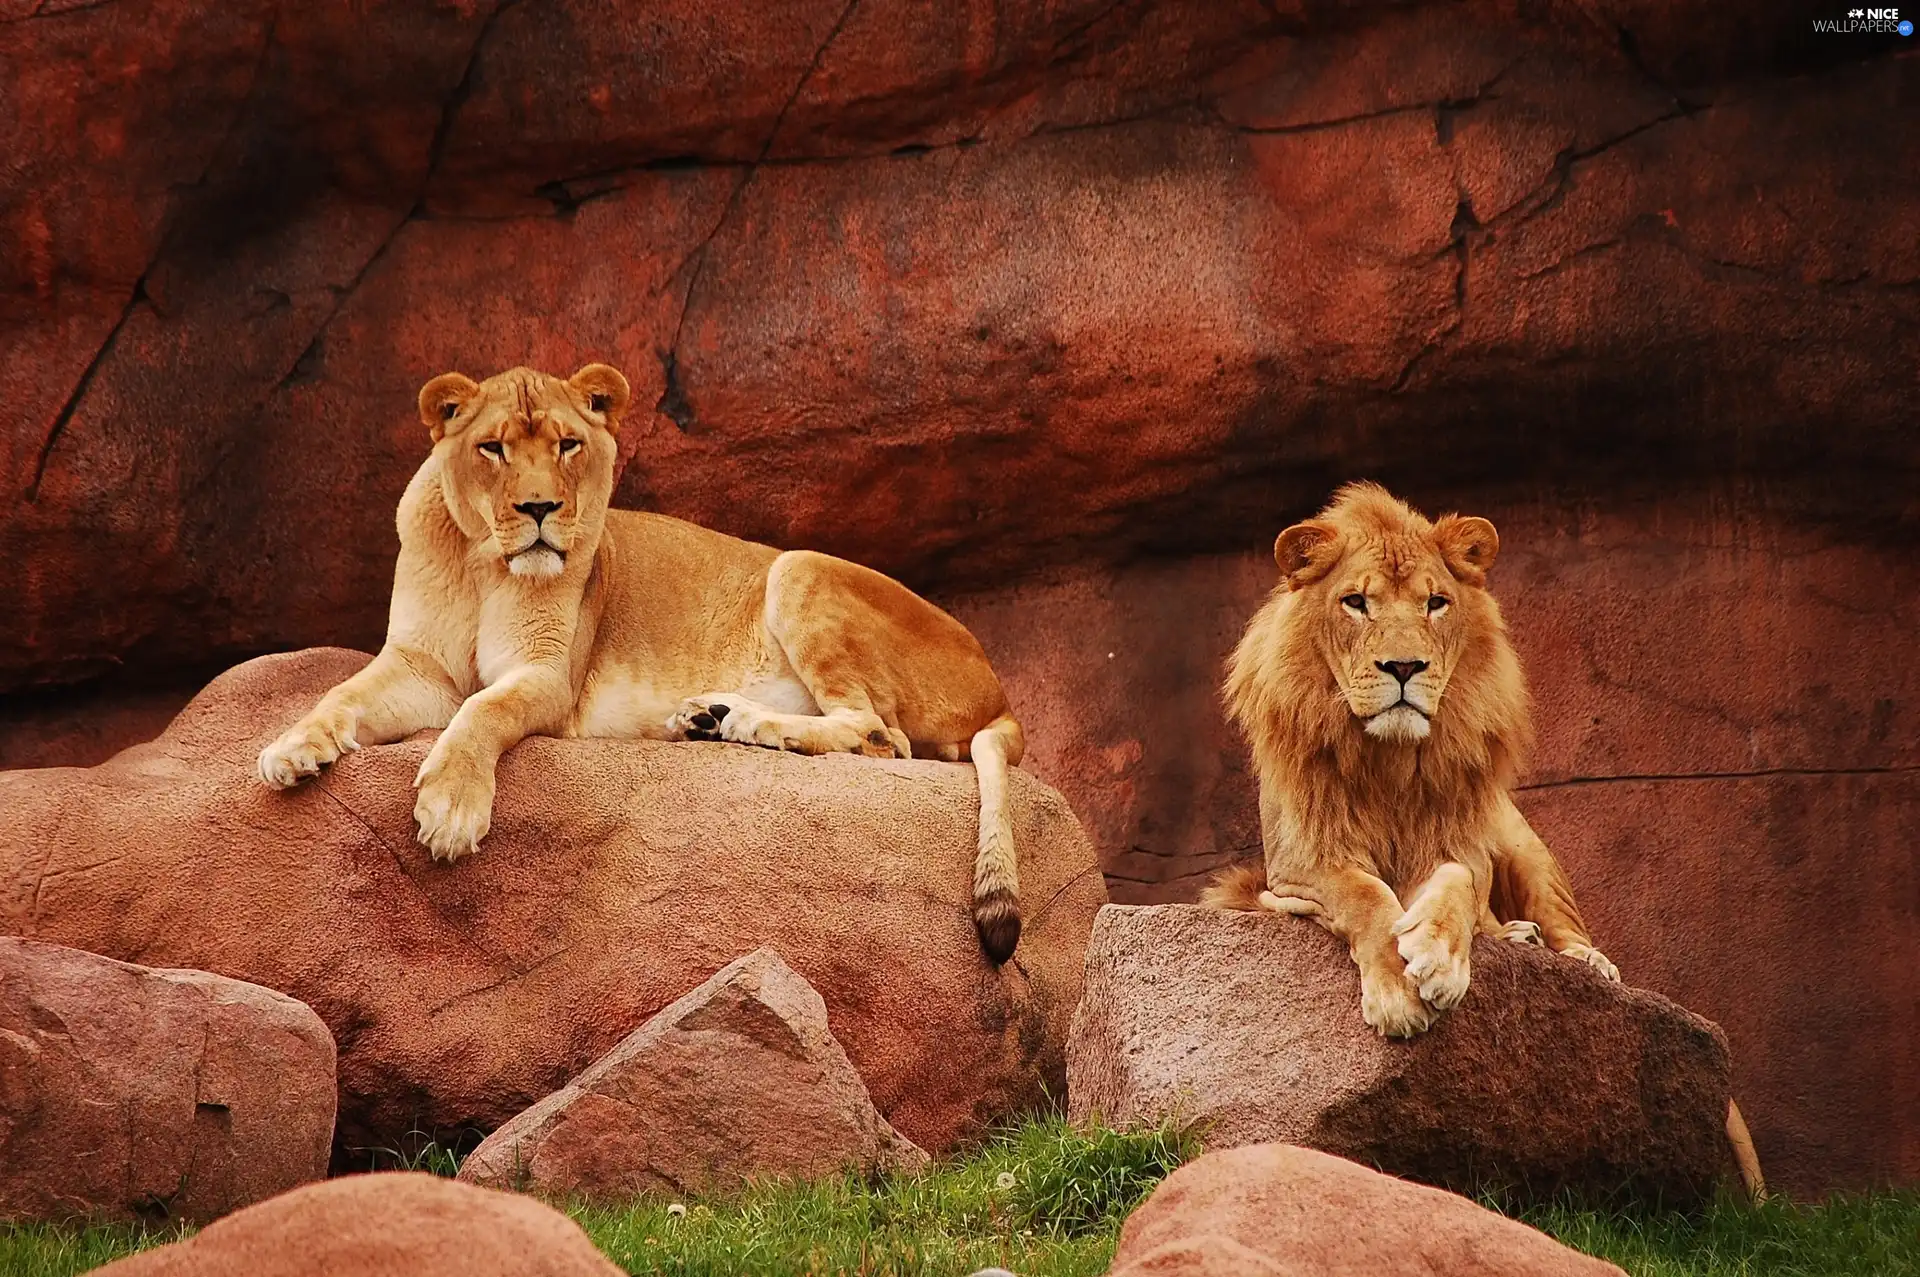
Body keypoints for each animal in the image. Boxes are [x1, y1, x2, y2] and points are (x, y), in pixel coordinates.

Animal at [266, 362, 1036, 960]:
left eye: (568, 444)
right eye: (492, 449)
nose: (540, 507)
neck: (484, 561)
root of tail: (1000, 691)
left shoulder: (549, 677)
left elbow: (484, 709)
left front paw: (451, 807)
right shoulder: (420, 665)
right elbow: (341, 695)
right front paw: (291, 749)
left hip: (800, 566)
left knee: (880, 734)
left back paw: (746, 723)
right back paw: (708, 716)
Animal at [1205, 483, 1758, 1198]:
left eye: (1435, 603)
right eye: (1356, 602)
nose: (1404, 666)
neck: (1388, 760)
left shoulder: (1462, 844)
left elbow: (1458, 882)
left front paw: (1439, 959)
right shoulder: (1297, 865)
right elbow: (1364, 894)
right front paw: (1398, 993)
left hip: (1523, 840)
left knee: (1564, 924)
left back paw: (1578, 958)